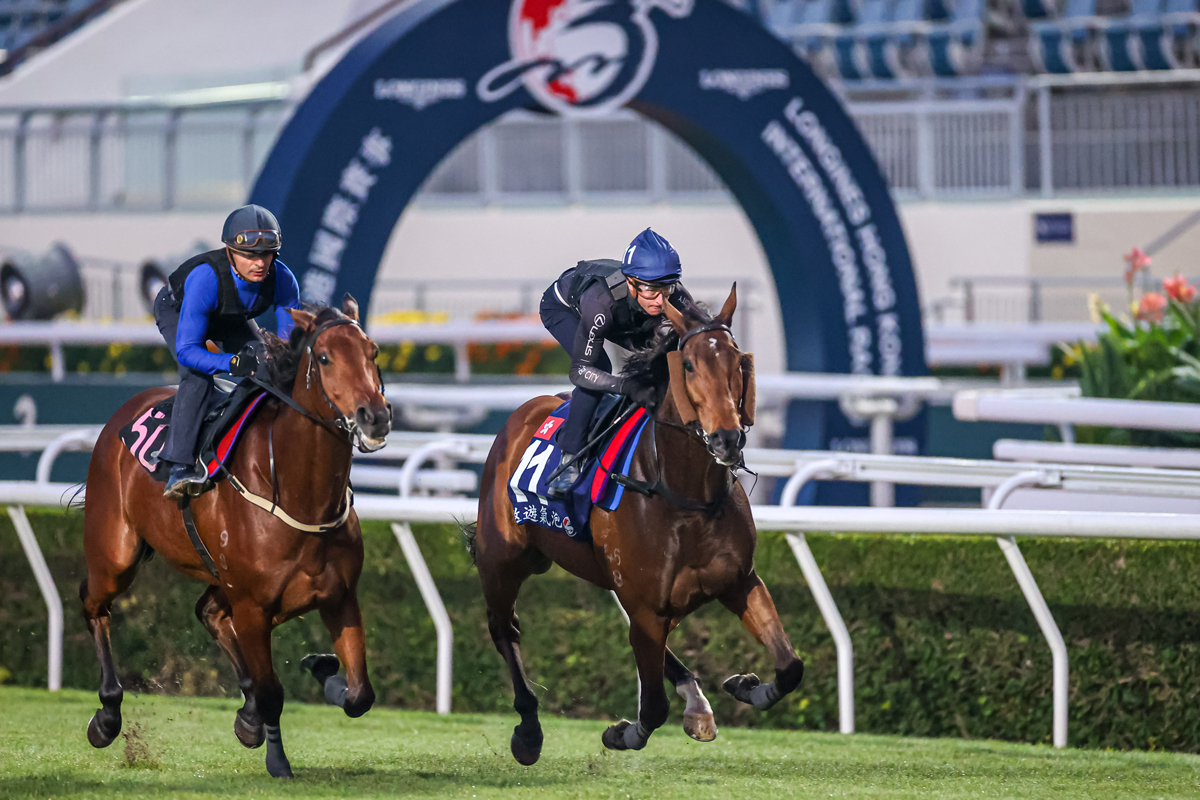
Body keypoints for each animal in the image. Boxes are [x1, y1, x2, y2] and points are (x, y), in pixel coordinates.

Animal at [79, 297, 388, 777]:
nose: (373, 416)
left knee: (208, 612)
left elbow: (359, 695)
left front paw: (321, 670)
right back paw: (108, 716)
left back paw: (248, 713)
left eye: (372, 352)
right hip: (115, 554)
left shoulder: (338, 596)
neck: (300, 494)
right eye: (324, 358)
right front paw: (278, 762)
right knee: (94, 604)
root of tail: (125, 411)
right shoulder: (253, 606)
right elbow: (273, 691)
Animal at [470, 286, 806, 762]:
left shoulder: (739, 580)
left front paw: (747, 687)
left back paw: (697, 702)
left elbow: (790, 665)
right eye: (688, 365)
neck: (685, 497)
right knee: (504, 627)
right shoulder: (647, 604)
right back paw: (529, 730)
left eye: (738, 360)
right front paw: (622, 733)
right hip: (501, 558)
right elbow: (652, 708)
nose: (727, 438)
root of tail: (525, 413)